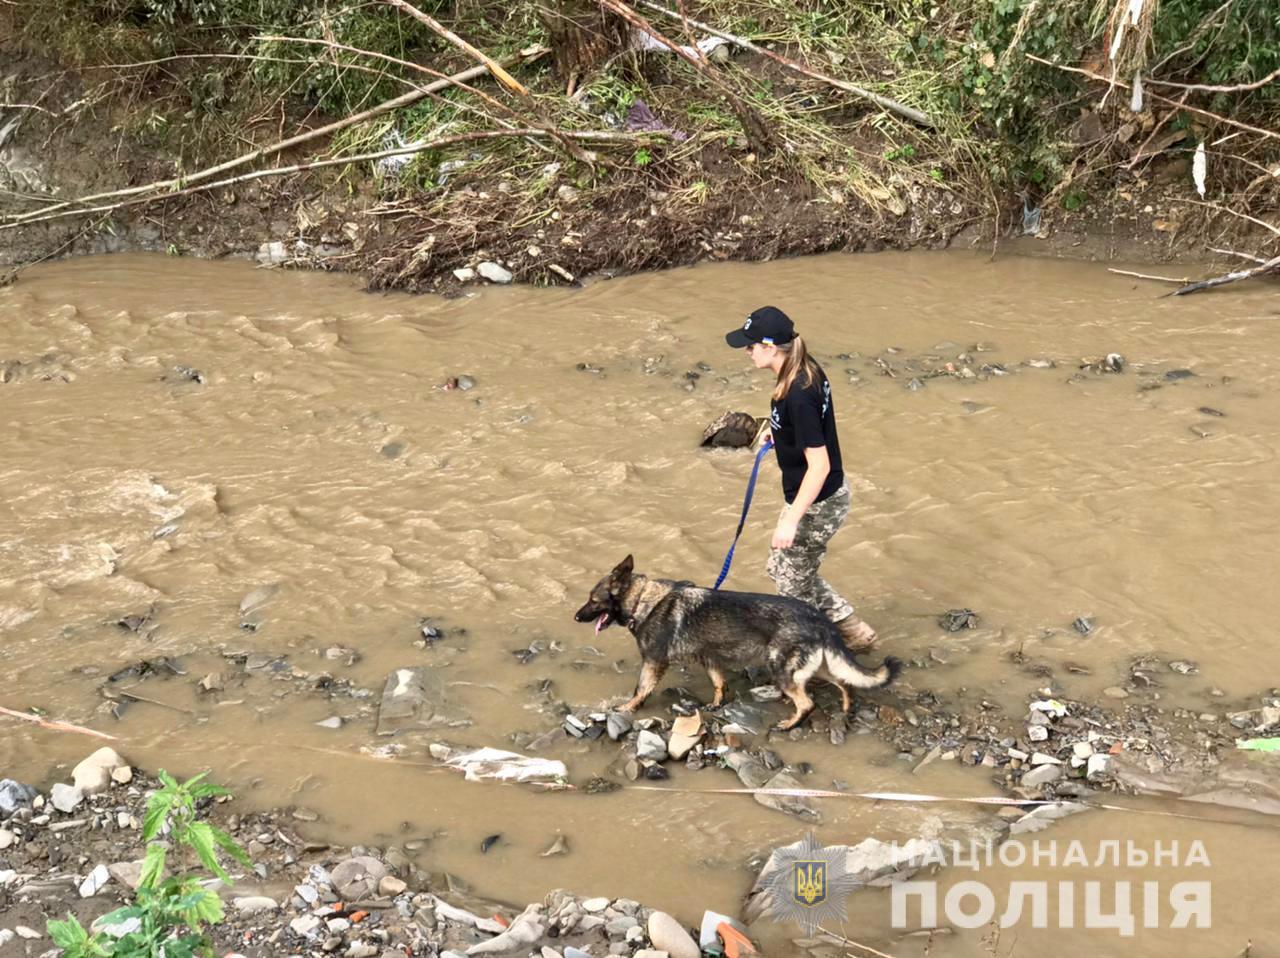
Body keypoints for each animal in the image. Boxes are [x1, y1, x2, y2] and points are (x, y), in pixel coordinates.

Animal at [570, 553, 901, 727]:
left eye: (593, 600)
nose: (575, 617)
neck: (643, 601)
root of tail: (819, 619)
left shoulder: (653, 662)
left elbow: (640, 688)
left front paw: (628, 708)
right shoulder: (710, 660)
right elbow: (719, 684)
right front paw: (716, 704)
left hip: (782, 668)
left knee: (807, 702)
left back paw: (790, 723)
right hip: (812, 666)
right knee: (843, 682)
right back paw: (844, 707)